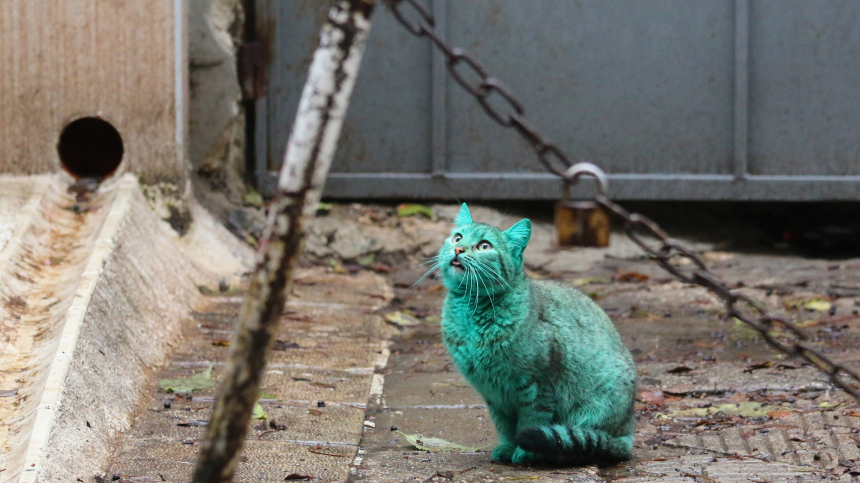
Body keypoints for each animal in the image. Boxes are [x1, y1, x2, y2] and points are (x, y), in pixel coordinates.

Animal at [440, 203, 636, 466]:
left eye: (484, 246)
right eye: (458, 237)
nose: (458, 249)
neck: (471, 311)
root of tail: (627, 433)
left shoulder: (537, 387)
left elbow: (531, 422)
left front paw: (525, 452)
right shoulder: (494, 394)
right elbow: (504, 426)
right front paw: (507, 447)